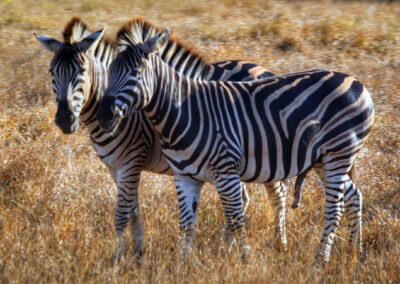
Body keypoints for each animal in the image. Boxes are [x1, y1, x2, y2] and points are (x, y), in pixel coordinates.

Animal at [35, 17, 290, 262]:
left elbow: (122, 214)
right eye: (51, 72)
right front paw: (138, 251)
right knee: (244, 199)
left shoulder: (132, 161)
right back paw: (227, 245)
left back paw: (279, 245)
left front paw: (118, 259)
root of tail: (263, 70)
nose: (65, 119)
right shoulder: (115, 167)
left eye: (81, 71)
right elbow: (133, 209)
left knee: (277, 195)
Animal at [97, 21, 376, 266]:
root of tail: (357, 82)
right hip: (323, 159)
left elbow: (236, 219)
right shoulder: (184, 177)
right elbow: (187, 223)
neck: (184, 112)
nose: (104, 115)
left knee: (334, 209)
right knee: (354, 196)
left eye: (136, 72)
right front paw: (183, 264)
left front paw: (242, 260)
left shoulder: (226, 172)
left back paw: (321, 260)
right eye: (108, 72)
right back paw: (355, 251)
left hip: (339, 153)